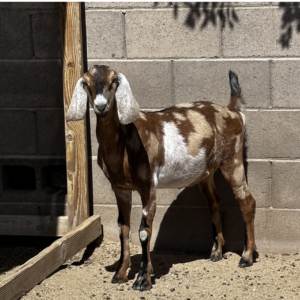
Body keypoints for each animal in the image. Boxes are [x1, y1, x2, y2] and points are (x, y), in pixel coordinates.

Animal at [67, 65, 256, 290]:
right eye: (86, 83)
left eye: (113, 81)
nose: (101, 106)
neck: (124, 143)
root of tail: (233, 111)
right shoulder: (120, 188)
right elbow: (123, 228)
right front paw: (120, 274)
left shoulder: (148, 185)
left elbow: (143, 231)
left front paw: (142, 280)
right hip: (206, 173)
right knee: (215, 203)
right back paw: (216, 252)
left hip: (232, 159)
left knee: (247, 201)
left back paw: (246, 257)